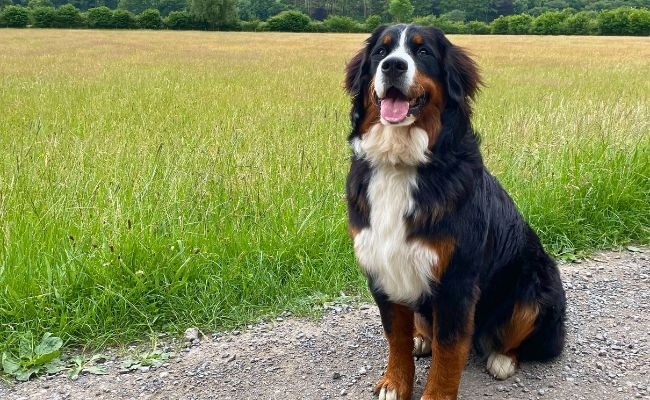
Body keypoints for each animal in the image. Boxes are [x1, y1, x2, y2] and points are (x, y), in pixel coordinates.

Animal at [344, 23, 560, 398]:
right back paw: (421, 338)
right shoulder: (381, 266)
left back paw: (502, 358)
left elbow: (449, 348)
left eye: (423, 52)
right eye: (380, 52)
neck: (402, 165)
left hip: (536, 288)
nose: (393, 66)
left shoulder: (456, 280)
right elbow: (395, 336)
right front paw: (395, 382)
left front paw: (436, 393)